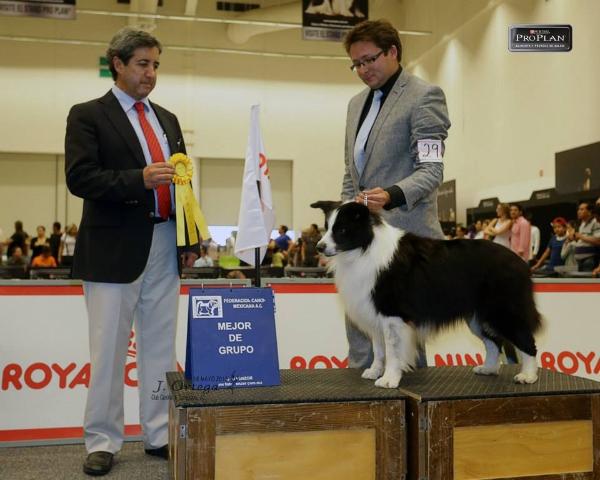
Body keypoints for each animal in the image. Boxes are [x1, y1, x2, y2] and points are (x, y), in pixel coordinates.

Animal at [318, 201, 544, 388]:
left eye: (342, 230)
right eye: (326, 228)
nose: (319, 247)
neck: (364, 248)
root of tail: (521, 263)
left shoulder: (392, 313)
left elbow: (392, 350)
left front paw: (389, 379)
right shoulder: (374, 312)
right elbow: (379, 347)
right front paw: (374, 371)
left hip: (504, 311)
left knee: (526, 341)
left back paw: (528, 376)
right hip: (478, 317)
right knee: (494, 342)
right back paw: (488, 368)